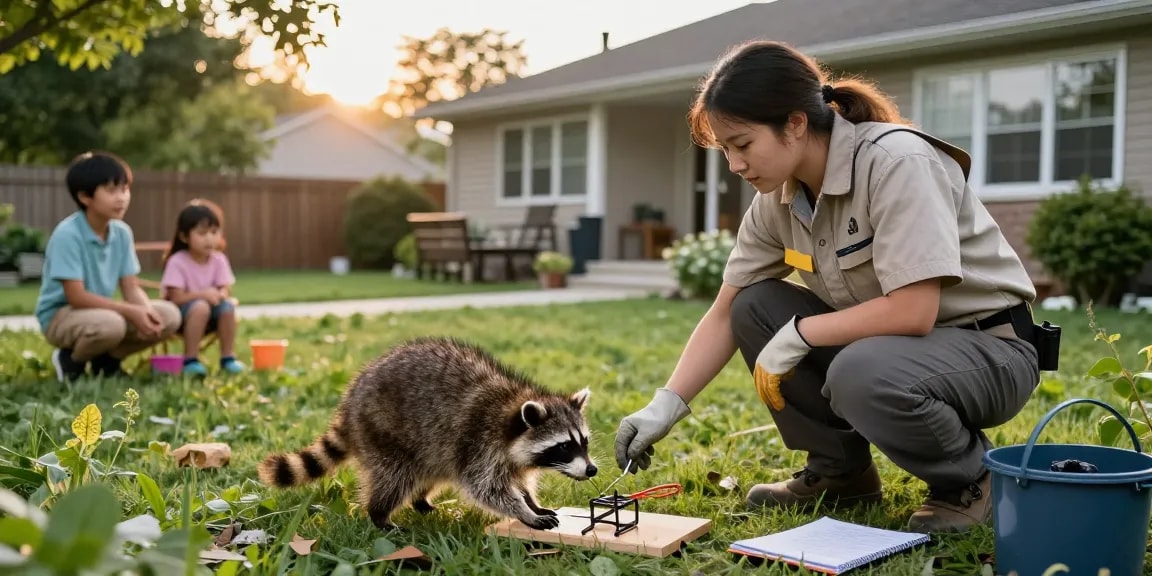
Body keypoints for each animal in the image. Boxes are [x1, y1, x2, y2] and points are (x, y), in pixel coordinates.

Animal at [256, 336, 598, 531]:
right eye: (564, 446)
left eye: (583, 442)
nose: (592, 469)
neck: (511, 410)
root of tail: (348, 406)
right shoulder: (479, 443)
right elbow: (487, 489)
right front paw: (524, 512)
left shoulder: (508, 455)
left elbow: (519, 481)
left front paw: (531, 501)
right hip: (383, 432)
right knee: (394, 477)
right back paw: (379, 514)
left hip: (432, 448)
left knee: (430, 471)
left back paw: (420, 500)